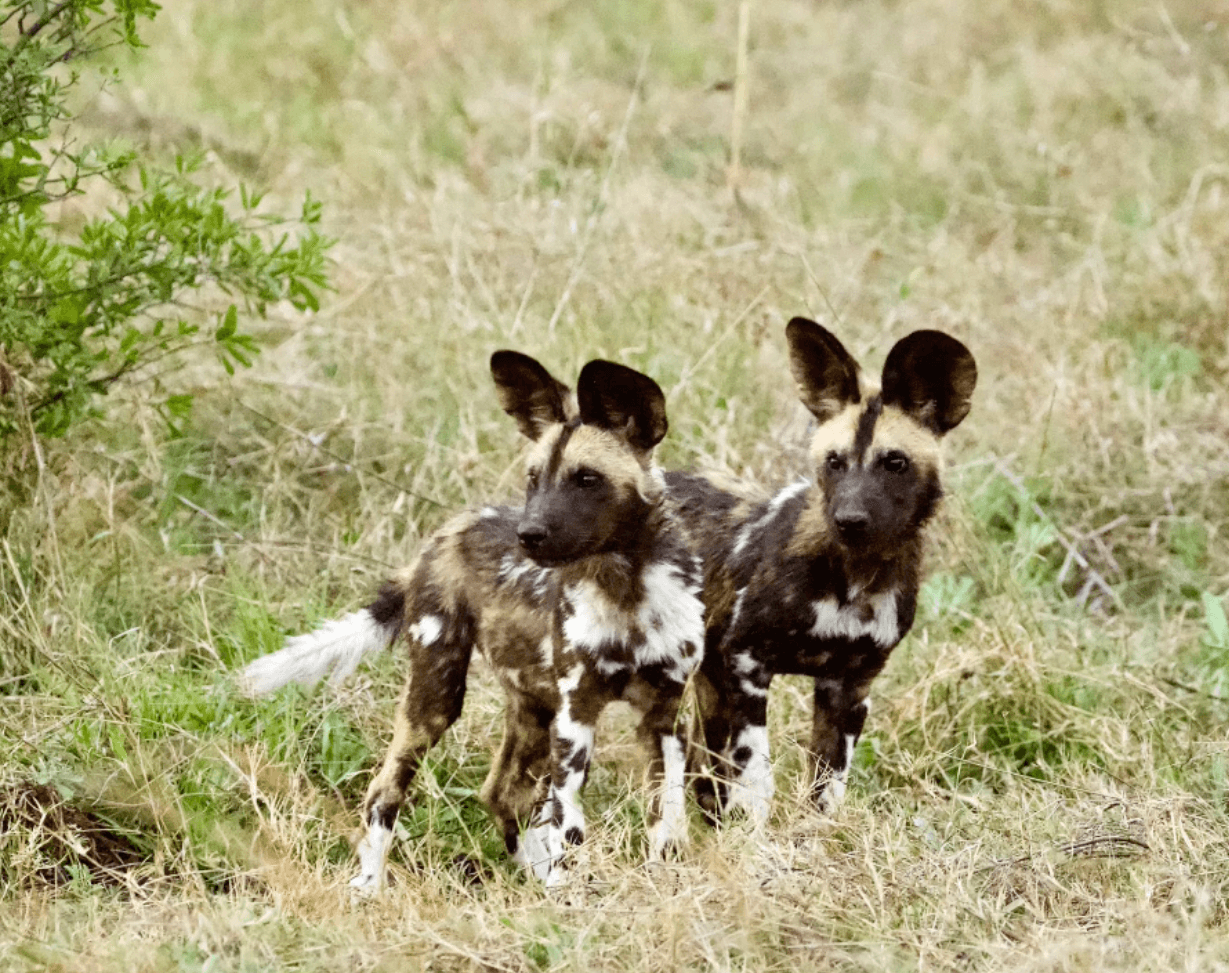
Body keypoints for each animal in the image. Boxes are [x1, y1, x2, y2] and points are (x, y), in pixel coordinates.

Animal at [239, 353, 702, 894]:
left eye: (587, 479)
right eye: (533, 479)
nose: (529, 534)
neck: (627, 587)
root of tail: (443, 534)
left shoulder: (664, 715)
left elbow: (667, 816)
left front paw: (664, 878)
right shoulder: (577, 714)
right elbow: (570, 827)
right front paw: (572, 891)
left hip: (532, 709)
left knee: (503, 794)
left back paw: (536, 880)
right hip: (436, 697)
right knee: (385, 791)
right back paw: (371, 885)